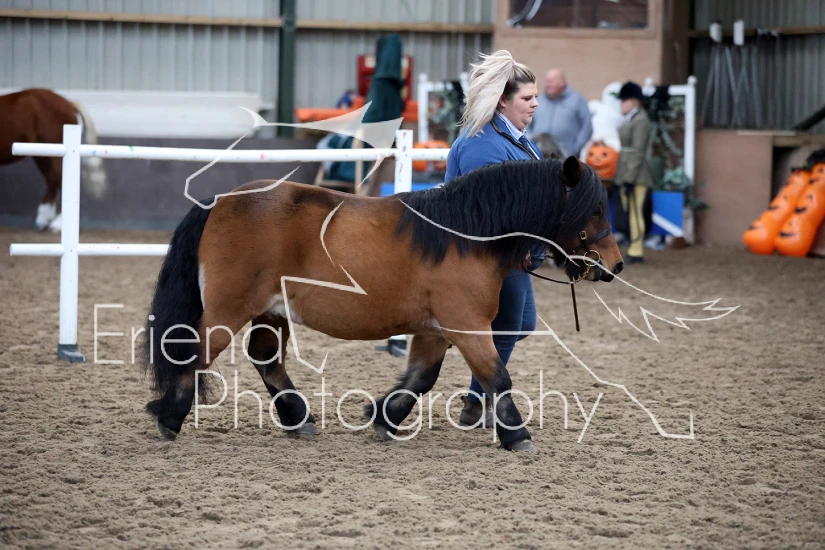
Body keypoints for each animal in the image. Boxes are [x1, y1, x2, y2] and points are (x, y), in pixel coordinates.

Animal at [0, 88, 107, 232]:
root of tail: (69, 104)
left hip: (54, 154)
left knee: (58, 180)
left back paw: (57, 223)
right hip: (43, 155)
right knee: (52, 180)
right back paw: (44, 220)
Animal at [142, 156, 623, 451]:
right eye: (595, 209)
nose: (614, 265)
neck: (465, 236)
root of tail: (219, 202)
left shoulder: (434, 330)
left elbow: (420, 378)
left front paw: (383, 417)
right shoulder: (467, 326)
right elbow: (497, 377)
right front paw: (517, 433)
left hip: (270, 312)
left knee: (266, 360)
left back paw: (298, 418)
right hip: (229, 310)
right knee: (194, 353)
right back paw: (170, 417)